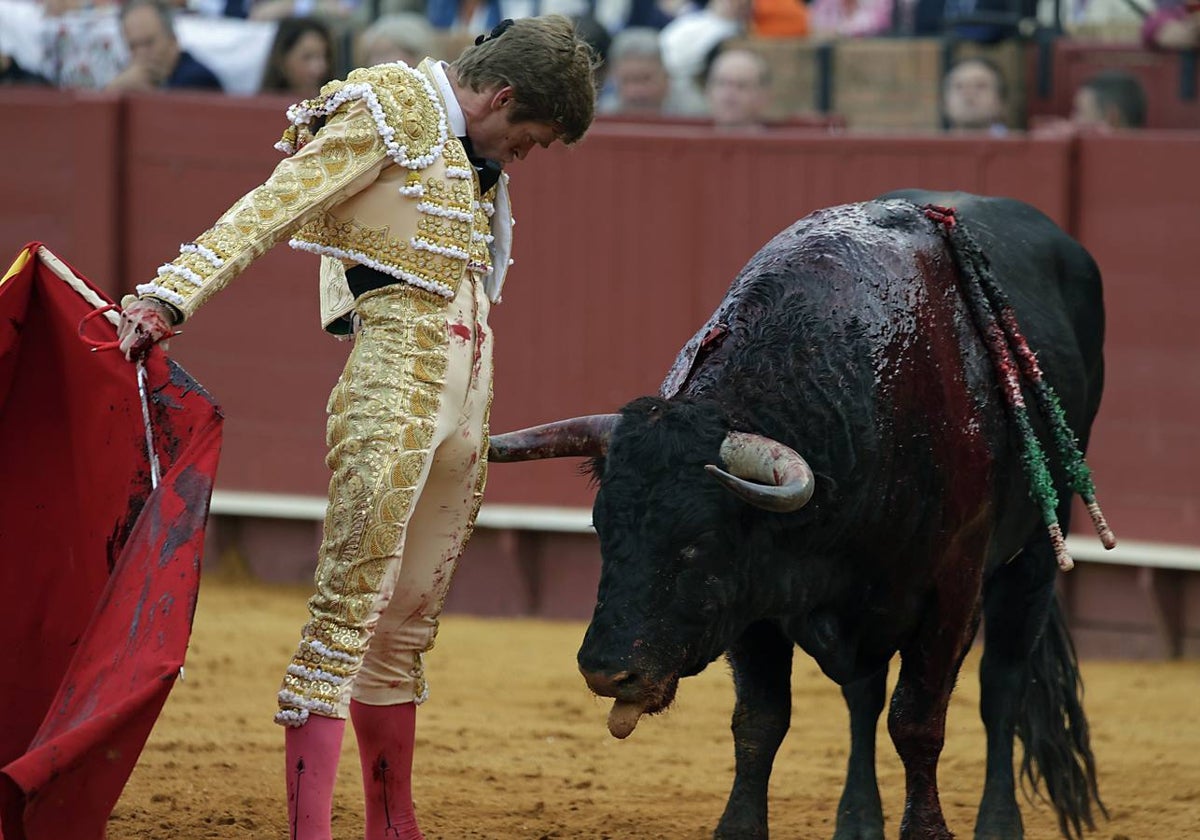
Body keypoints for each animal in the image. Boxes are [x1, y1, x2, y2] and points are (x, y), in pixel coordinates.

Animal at [484, 193, 1104, 840]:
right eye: (603, 531)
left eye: (698, 542)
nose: (608, 673)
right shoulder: (751, 601)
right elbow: (760, 721)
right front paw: (739, 828)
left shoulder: (951, 592)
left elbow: (918, 722)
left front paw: (927, 830)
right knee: (864, 697)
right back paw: (857, 819)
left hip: (1035, 553)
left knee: (1002, 685)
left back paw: (999, 821)